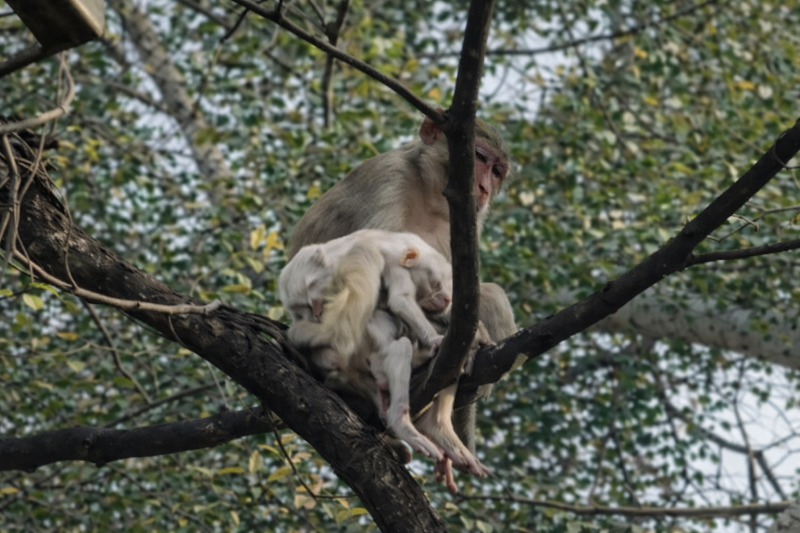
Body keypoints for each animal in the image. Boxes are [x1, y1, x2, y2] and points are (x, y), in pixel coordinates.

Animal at [288, 114, 518, 453]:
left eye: (497, 171)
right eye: (478, 156)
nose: (484, 187)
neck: (431, 195)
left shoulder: (467, 218)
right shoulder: (390, 178)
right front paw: (469, 339)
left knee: (489, 294)